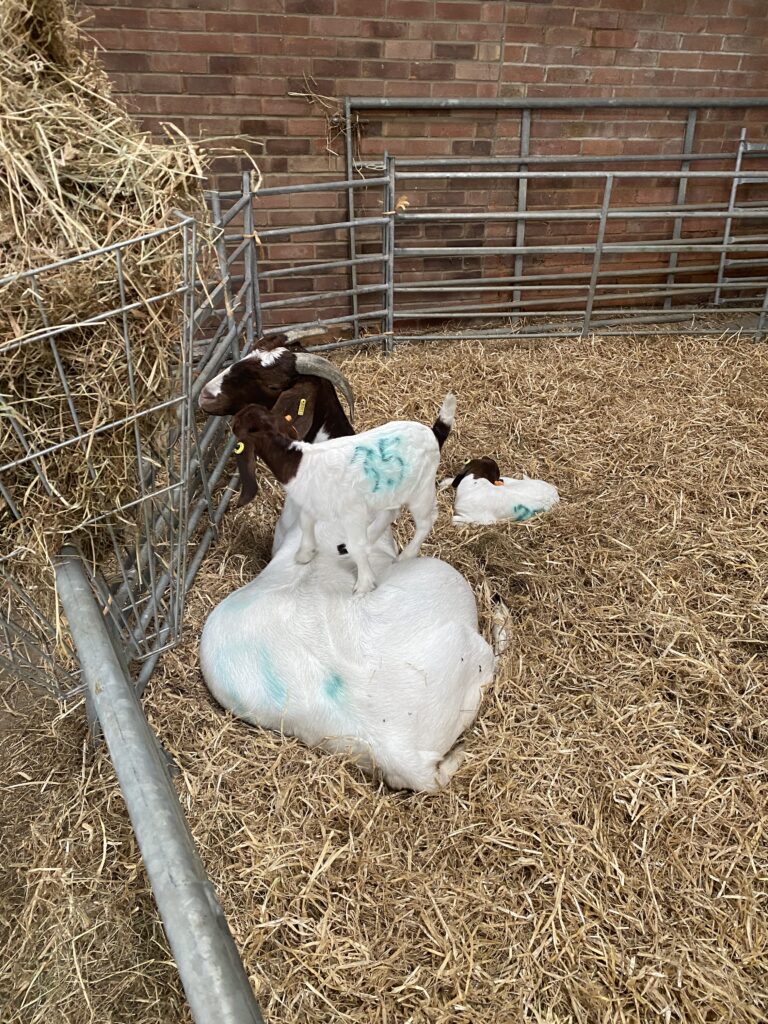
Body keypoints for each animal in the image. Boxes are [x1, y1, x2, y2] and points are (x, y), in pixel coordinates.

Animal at [231, 394, 456, 594]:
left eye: (239, 422)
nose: (231, 424)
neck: (298, 461)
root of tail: (434, 433)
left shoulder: (352, 512)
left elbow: (358, 546)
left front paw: (364, 585)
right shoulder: (312, 503)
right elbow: (306, 523)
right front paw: (305, 554)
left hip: (421, 488)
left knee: (426, 521)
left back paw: (406, 556)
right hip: (392, 489)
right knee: (391, 513)